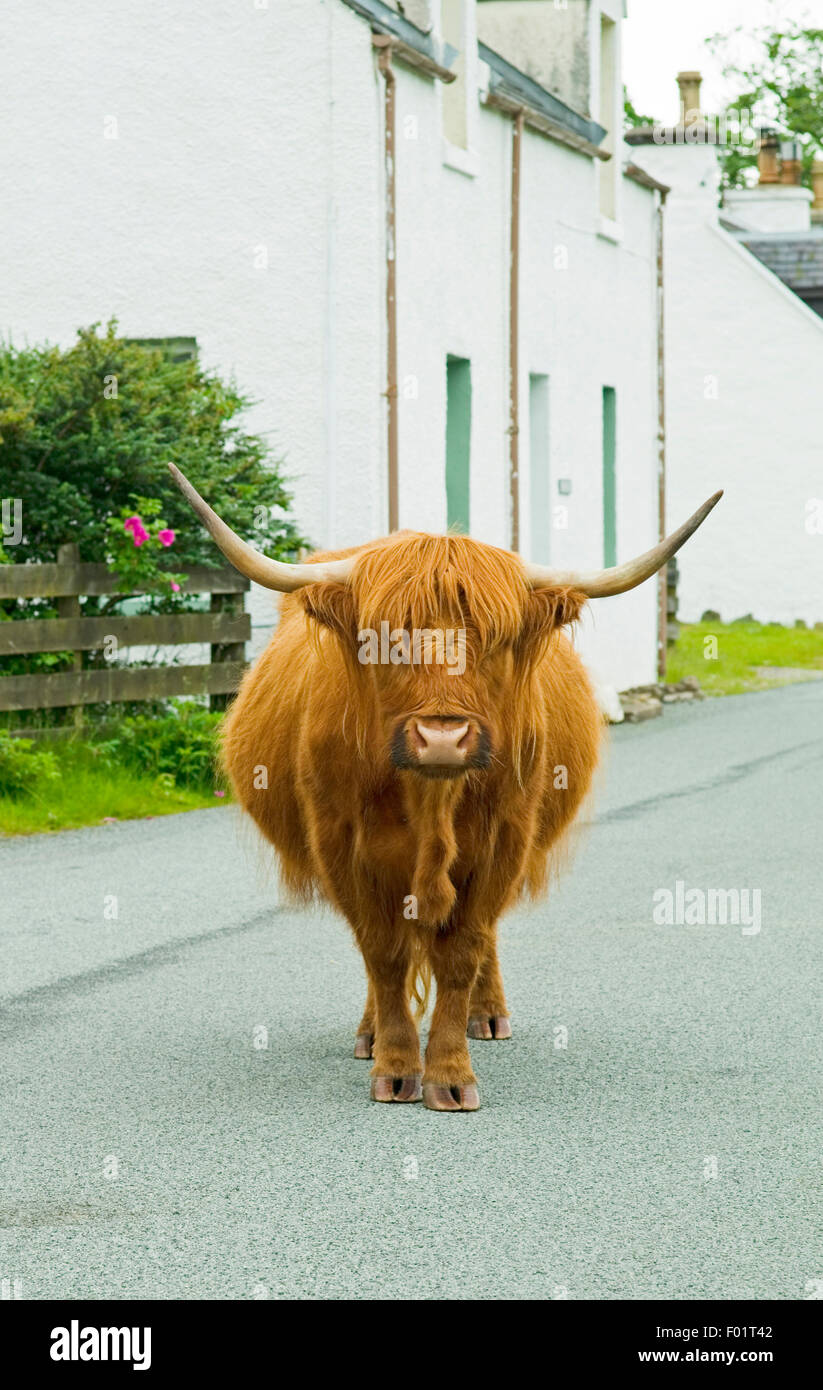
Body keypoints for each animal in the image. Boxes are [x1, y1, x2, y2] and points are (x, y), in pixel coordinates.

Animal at [168, 464, 722, 1106]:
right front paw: (396, 1066)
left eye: (497, 640)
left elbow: (462, 951)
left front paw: (452, 1075)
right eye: (383, 640)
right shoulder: (341, 844)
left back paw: (488, 1016)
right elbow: (382, 954)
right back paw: (370, 1034)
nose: (441, 736)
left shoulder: (505, 840)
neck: (430, 800)